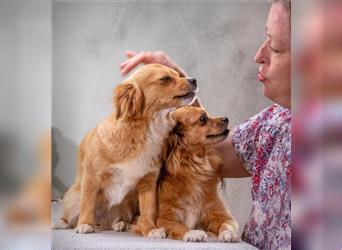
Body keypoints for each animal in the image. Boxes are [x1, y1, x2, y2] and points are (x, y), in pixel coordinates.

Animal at [52, 64, 196, 236]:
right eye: (165, 78)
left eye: (178, 75)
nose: (194, 80)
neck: (145, 130)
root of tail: (102, 221)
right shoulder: (91, 177)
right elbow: (88, 204)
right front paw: (85, 223)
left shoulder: (148, 183)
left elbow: (149, 210)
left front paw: (150, 229)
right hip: (72, 197)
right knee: (71, 215)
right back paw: (63, 222)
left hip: (127, 204)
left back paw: (119, 224)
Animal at [156, 106, 239, 242]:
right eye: (203, 118)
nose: (226, 118)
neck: (195, 168)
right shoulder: (162, 218)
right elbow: (178, 225)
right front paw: (192, 233)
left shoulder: (220, 215)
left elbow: (225, 224)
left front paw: (229, 233)